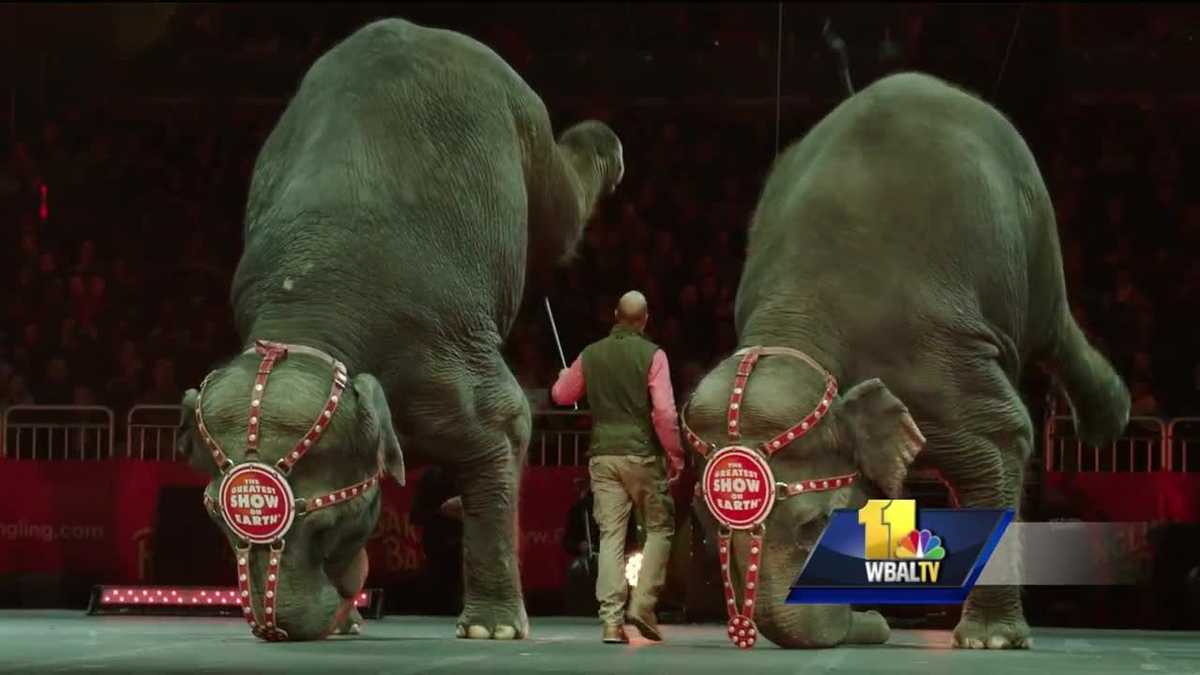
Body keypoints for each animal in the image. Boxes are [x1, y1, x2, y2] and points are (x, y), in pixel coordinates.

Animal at [174, 18, 623, 642]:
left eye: (326, 523)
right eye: (217, 521)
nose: (278, 629)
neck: (311, 322)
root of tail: (422, 29)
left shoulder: (437, 353)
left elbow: (506, 424)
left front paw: (491, 631)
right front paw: (350, 615)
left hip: (523, 118)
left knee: (561, 213)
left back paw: (607, 145)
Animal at [680, 72, 1129, 649]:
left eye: (813, 526)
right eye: (703, 527)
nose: (874, 623)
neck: (801, 325)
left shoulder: (931, 353)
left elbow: (1000, 436)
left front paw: (991, 640)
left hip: (1034, 231)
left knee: (1052, 326)